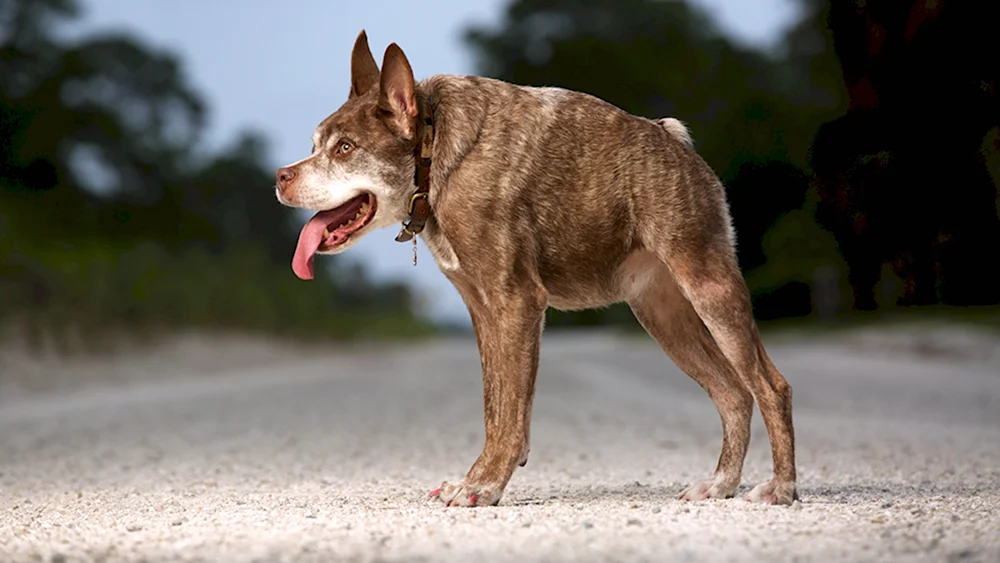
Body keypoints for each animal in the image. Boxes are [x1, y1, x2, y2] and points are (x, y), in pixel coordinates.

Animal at [274, 29, 796, 506]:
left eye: (344, 148)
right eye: (315, 144)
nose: (280, 177)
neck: (433, 148)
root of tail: (676, 141)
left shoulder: (517, 301)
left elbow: (509, 408)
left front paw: (483, 485)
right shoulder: (483, 309)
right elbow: (498, 404)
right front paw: (481, 478)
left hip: (708, 287)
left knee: (770, 387)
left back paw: (781, 488)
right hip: (663, 316)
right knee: (734, 394)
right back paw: (721, 483)